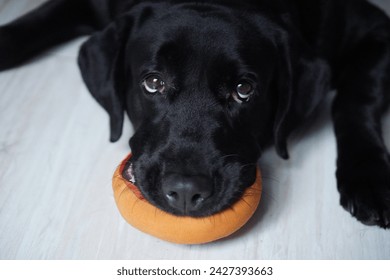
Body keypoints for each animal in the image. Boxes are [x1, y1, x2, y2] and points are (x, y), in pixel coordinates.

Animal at [0, 0, 388, 228]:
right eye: (153, 82)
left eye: (244, 90)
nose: (186, 191)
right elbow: (28, 24)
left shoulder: (372, 25)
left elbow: (355, 99)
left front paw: (367, 177)